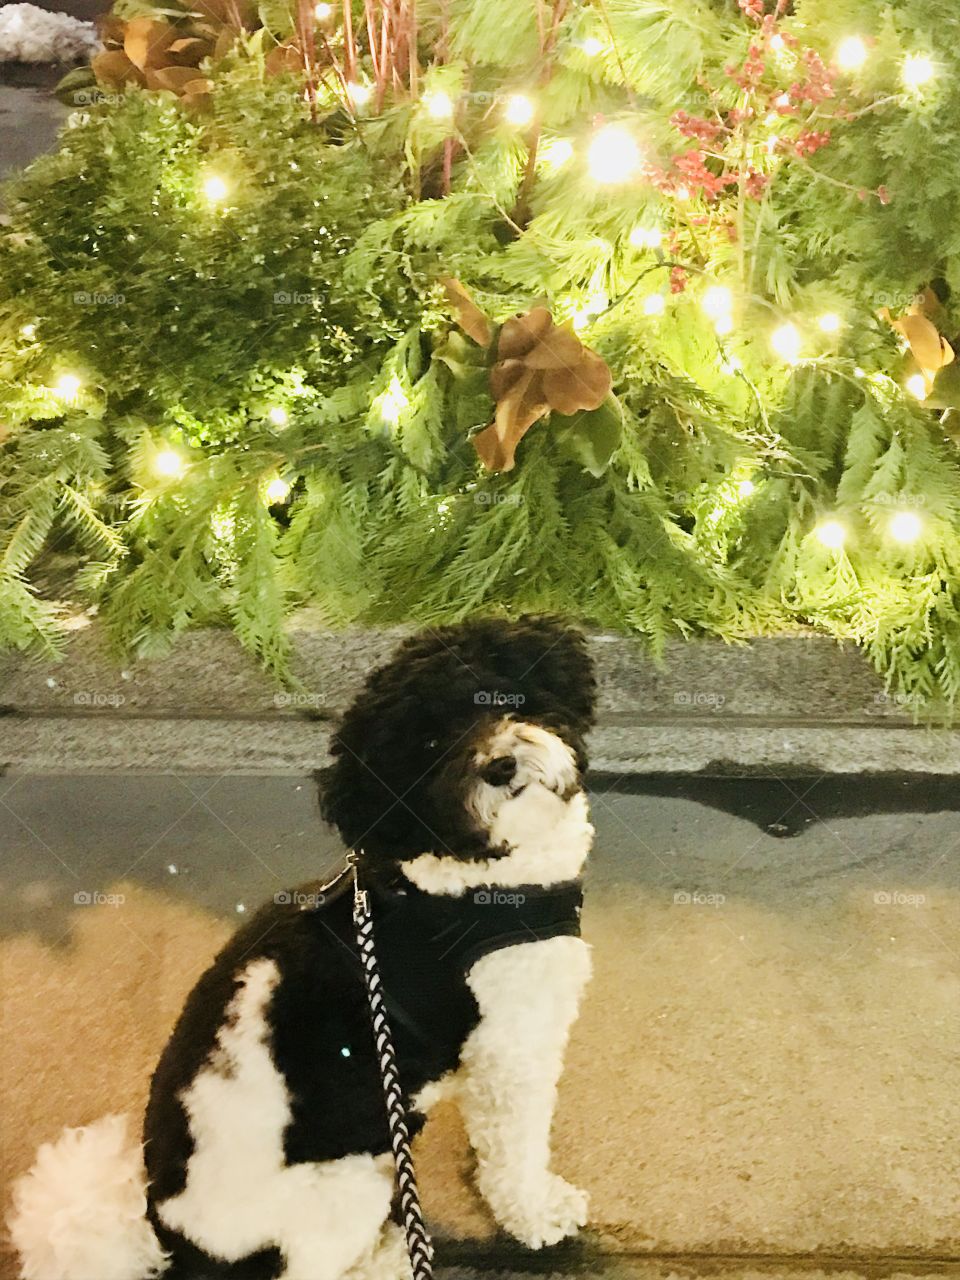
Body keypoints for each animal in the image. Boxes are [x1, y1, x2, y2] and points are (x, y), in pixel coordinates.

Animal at [11, 614, 599, 1280]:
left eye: (495, 696)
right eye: (426, 747)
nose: (498, 766)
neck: (468, 878)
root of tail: (171, 1246)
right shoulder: (513, 1046)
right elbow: (518, 1150)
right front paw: (539, 1213)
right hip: (347, 1184)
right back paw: (392, 1257)